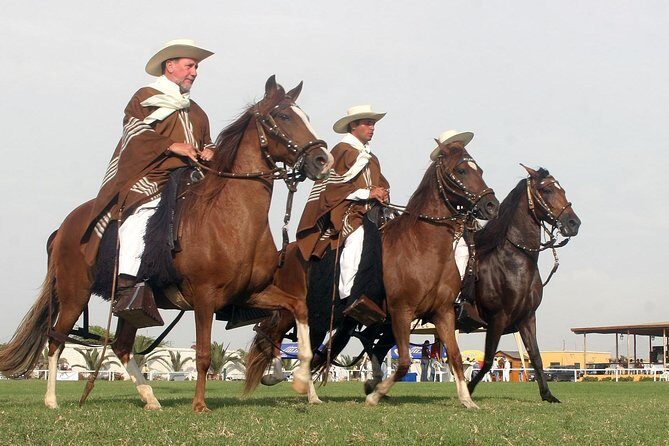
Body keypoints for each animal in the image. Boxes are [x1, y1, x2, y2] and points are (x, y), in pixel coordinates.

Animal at [0, 76, 334, 412]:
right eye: (284, 116)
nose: (323, 160)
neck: (230, 218)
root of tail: (64, 227)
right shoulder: (204, 297)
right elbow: (202, 354)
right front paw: (199, 405)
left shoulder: (251, 293)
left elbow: (297, 310)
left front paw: (300, 379)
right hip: (74, 295)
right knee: (56, 339)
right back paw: (52, 400)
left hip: (131, 306)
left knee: (121, 346)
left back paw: (151, 399)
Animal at [244, 140, 499, 408]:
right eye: (461, 170)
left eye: (479, 170)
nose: (492, 205)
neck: (423, 247)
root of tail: (285, 253)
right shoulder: (401, 311)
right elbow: (404, 361)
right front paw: (375, 394)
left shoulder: (443, 313)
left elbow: (456, 356)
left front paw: (467, 400)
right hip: (293, 311)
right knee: (271, 335)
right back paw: (281, 378)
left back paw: (307, 391)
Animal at [466, 165, 580, 402]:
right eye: (546, 190)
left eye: (562, 189)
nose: (574, 223)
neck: (514, 261)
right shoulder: (497, 318)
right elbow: (488, 360)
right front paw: (468, 389)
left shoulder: (527, 318)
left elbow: (536, 357)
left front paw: (548, 395)